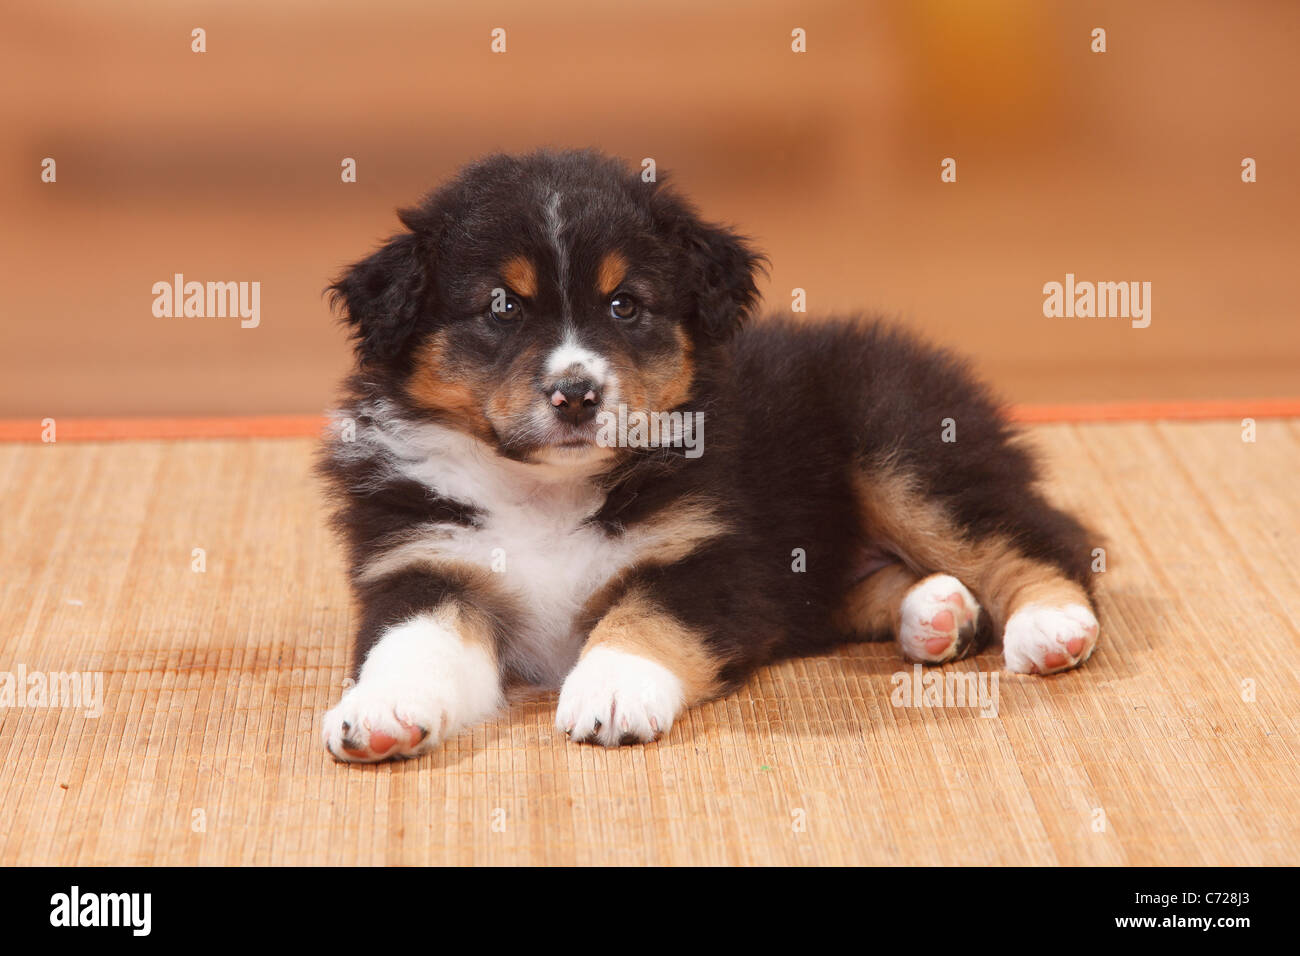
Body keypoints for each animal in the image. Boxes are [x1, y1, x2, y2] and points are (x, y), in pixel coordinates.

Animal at [317, 149, 1097, 764]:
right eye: (502, 306)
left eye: (626, 304)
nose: (577, 395)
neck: (547, 490)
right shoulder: (424, 561)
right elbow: (411, 641)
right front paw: (380, 712)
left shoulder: (708, 556)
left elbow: (645, 615)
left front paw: (613, 688)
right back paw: (937, 612)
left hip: (902, 451)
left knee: (1041, 537)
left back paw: (1051, 625)